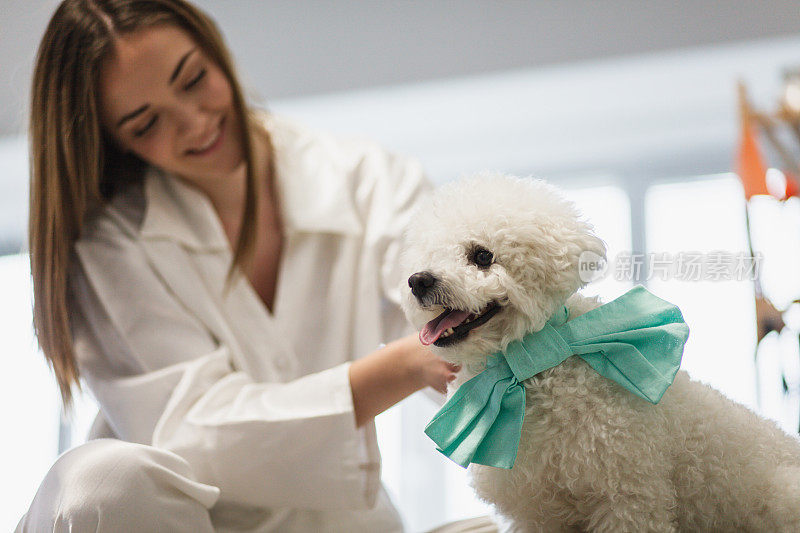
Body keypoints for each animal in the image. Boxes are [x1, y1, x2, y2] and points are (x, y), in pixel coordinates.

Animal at [404, 172, 800, 528]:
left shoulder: (629, 499)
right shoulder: (537, 514)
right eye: (430, 255)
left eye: (482, 256)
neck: (533, 376)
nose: (418, 281)